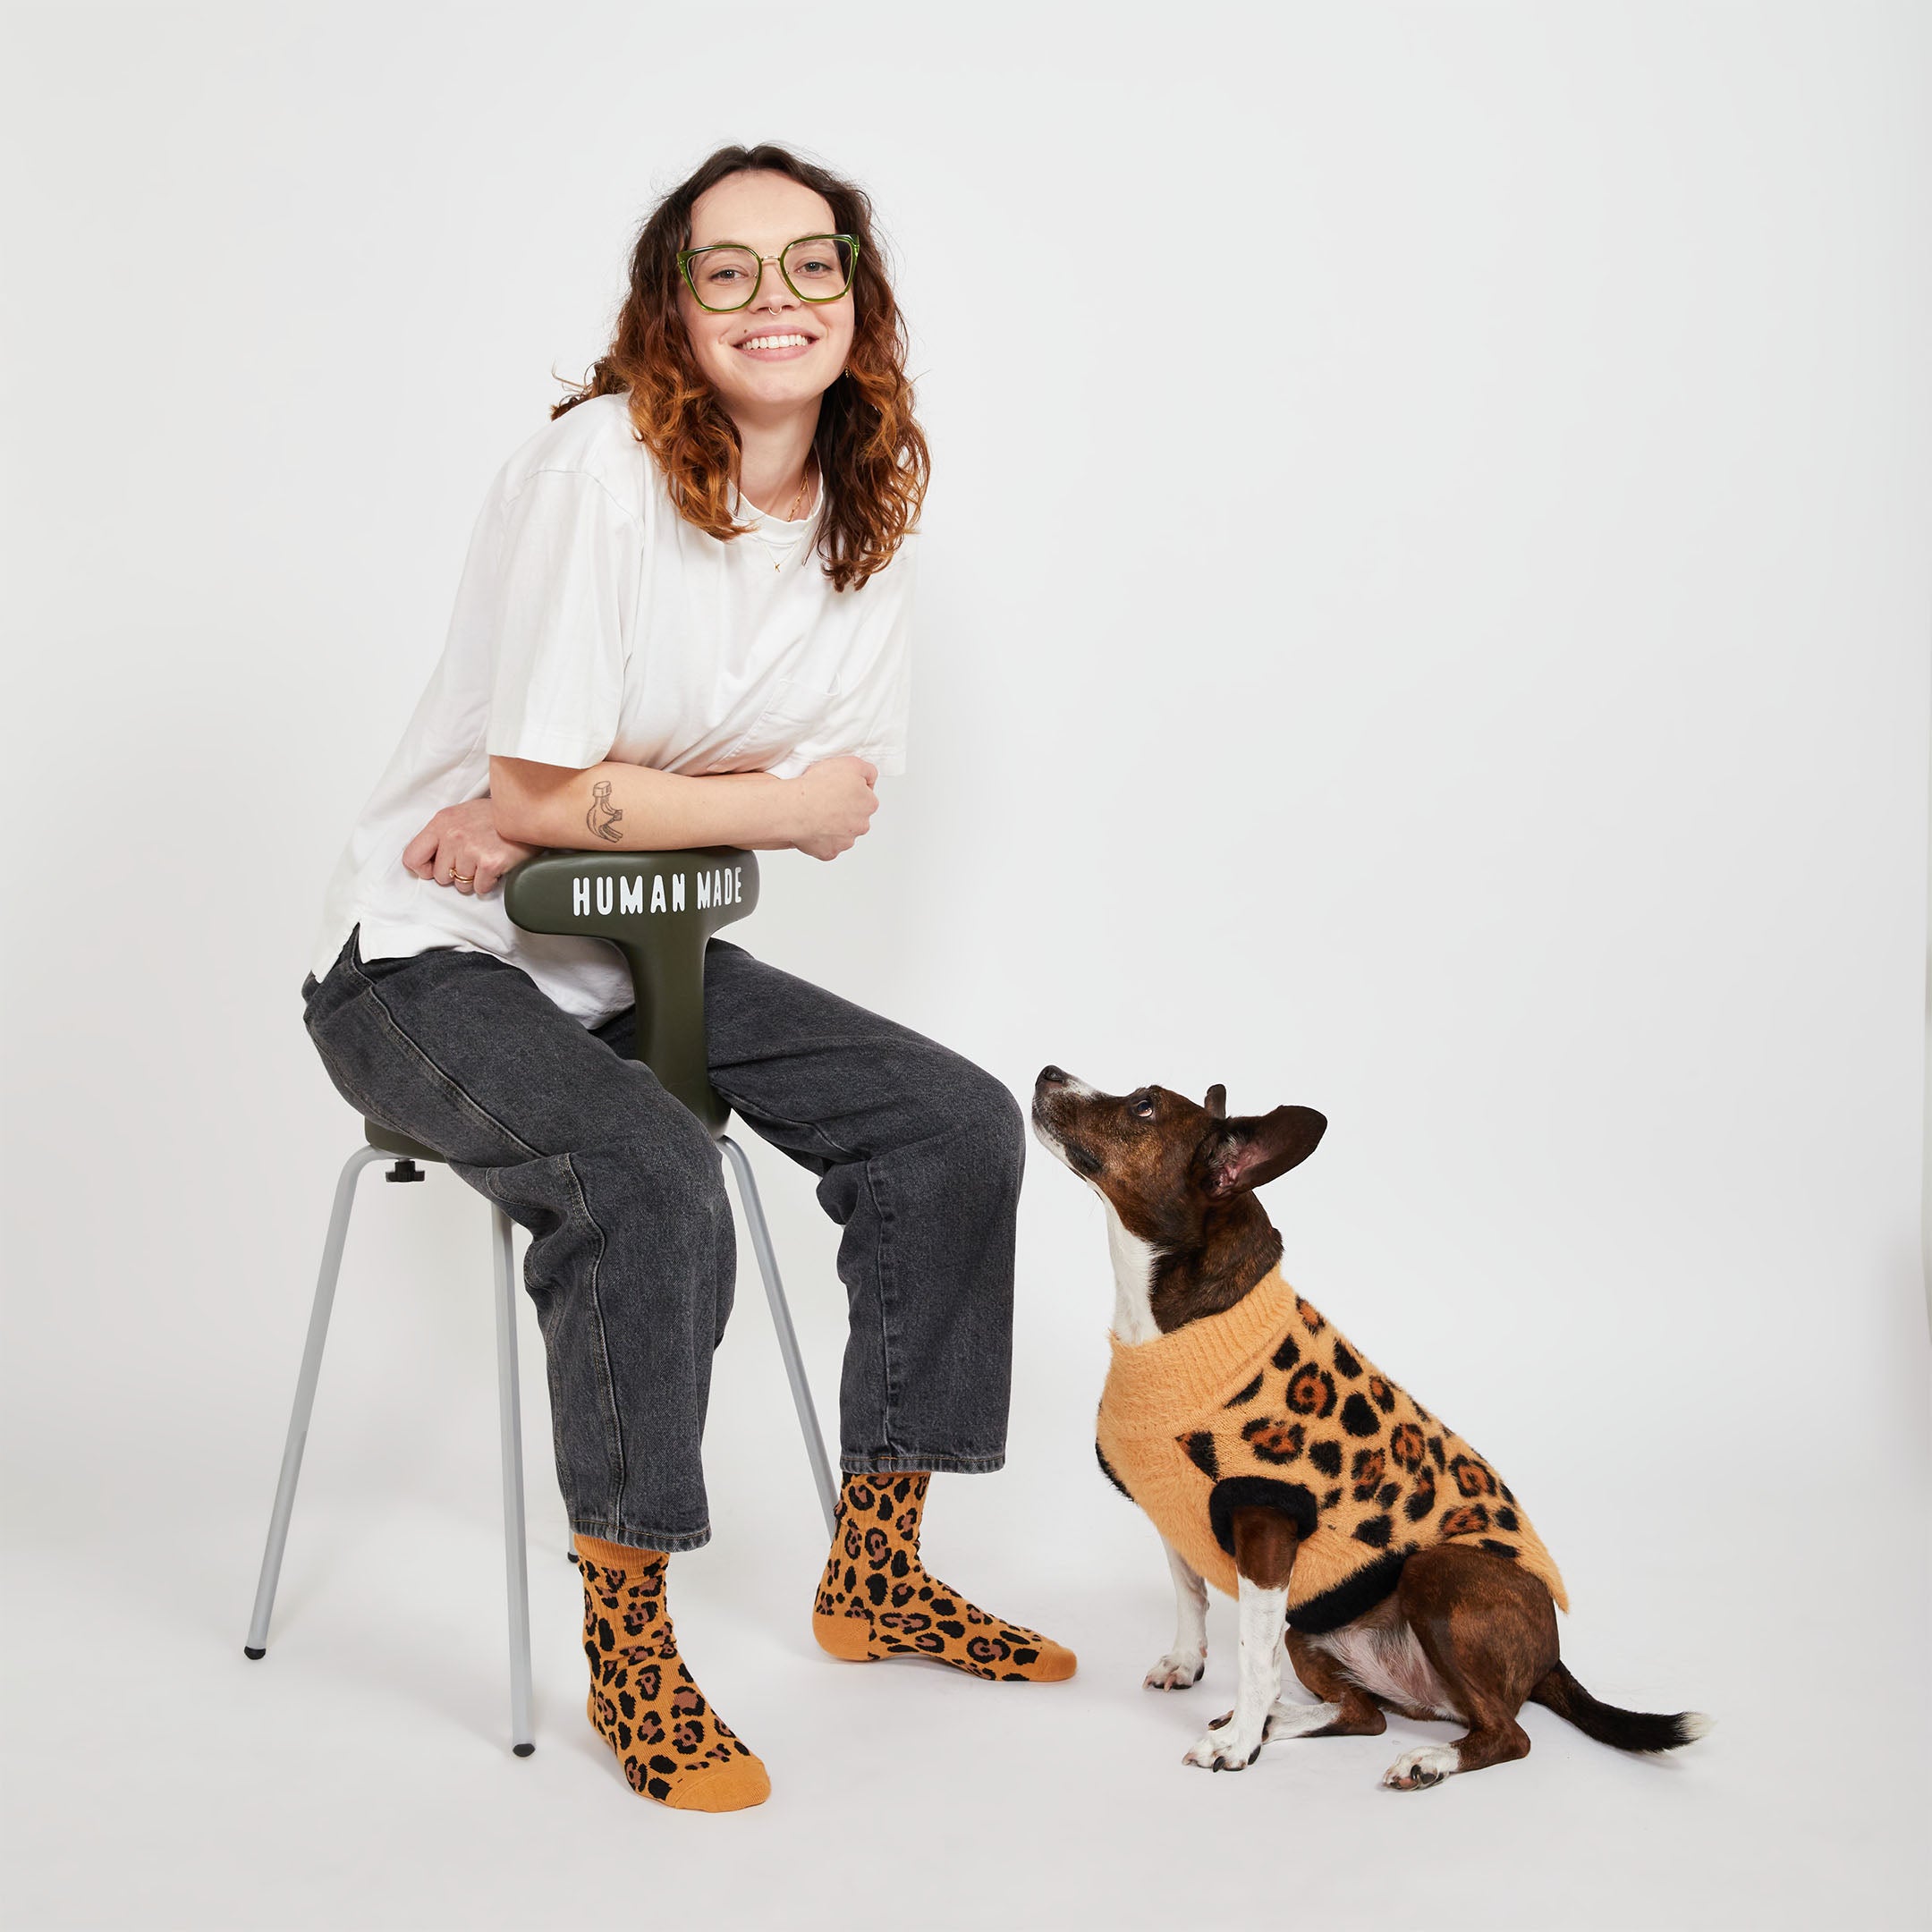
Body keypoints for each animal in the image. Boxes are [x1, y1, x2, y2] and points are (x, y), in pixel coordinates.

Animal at [1028, 1066, 1707, 1784]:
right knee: (1365, 1714)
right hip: (1314, 1632)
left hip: (1440, 1574)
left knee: (1507, 1734)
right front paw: (1190, 1668)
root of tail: (1549, 1658)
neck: (1170, 1329)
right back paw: (1289, 1721)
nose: (1048, 1072)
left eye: (1143, 1106)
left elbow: (1252, 1653)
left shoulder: (1266, 1532)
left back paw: (1425, 1758)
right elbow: (1191, 1597)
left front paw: (1237, 1744)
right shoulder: (1172, 1513)